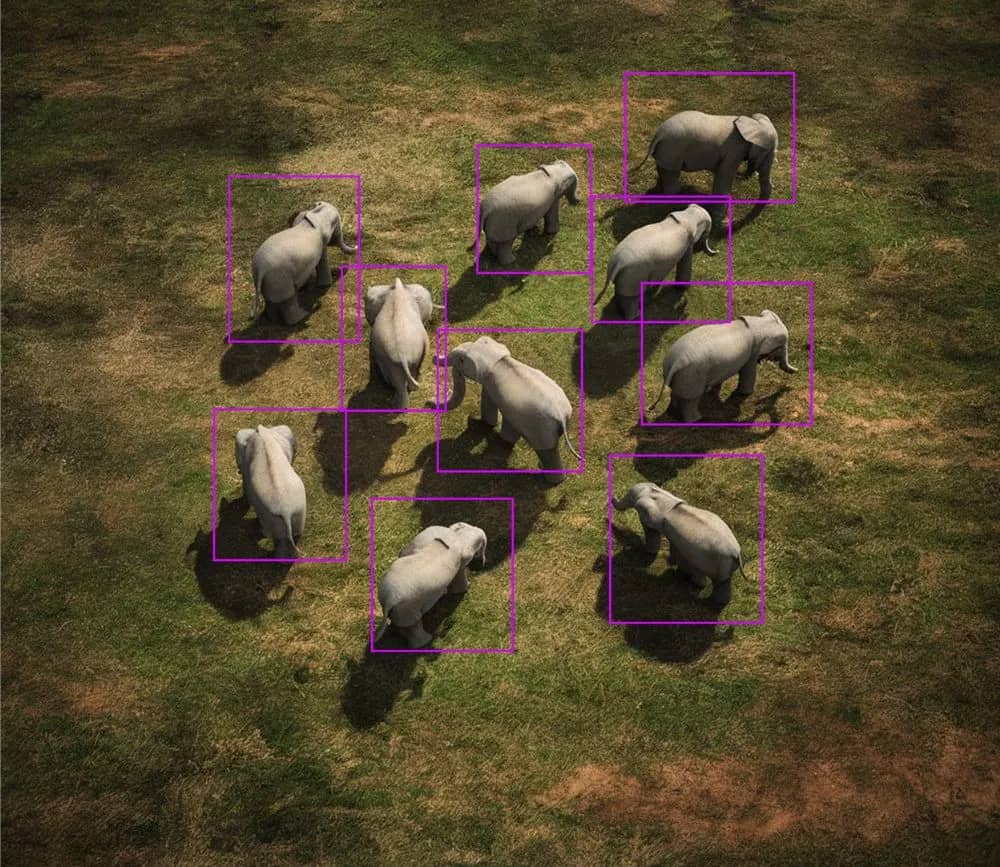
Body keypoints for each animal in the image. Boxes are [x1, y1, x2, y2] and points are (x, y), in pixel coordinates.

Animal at [436, 335, 580, 478]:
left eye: (461, 360)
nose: (429, 403)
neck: (499, 360)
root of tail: (562, 417)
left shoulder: (490, 384)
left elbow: (488, 403)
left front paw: (484, 424)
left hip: (541, 429)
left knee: (546, 451)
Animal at [612, 482, 748, 605]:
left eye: (632, 499)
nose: (612, 496)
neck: (662, 496)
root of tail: (736, 554)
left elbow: (652, 533)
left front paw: (649, 553)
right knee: (723, 581)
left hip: (710, 561)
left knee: (711, 578)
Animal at [632, 110, 779, 200]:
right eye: (769, 152)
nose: (747, 174)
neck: (752, 122)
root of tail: (658, 134)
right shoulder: (734, 151)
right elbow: (724, 175)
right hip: (673, 149)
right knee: (671, 173)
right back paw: (678, 194)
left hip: (667, 151)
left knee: (665, 169)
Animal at [647, 310, 798, 422]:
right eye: (782, 345)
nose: (796, 372)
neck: (757, 323)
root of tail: (674, 363)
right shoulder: (752, 352)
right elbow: (748, 371)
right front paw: (745, 394)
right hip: (693, 376)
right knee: (691, 400)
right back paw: (697, 419)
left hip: (682, 377)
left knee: (678, 393)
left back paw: (673, 412)